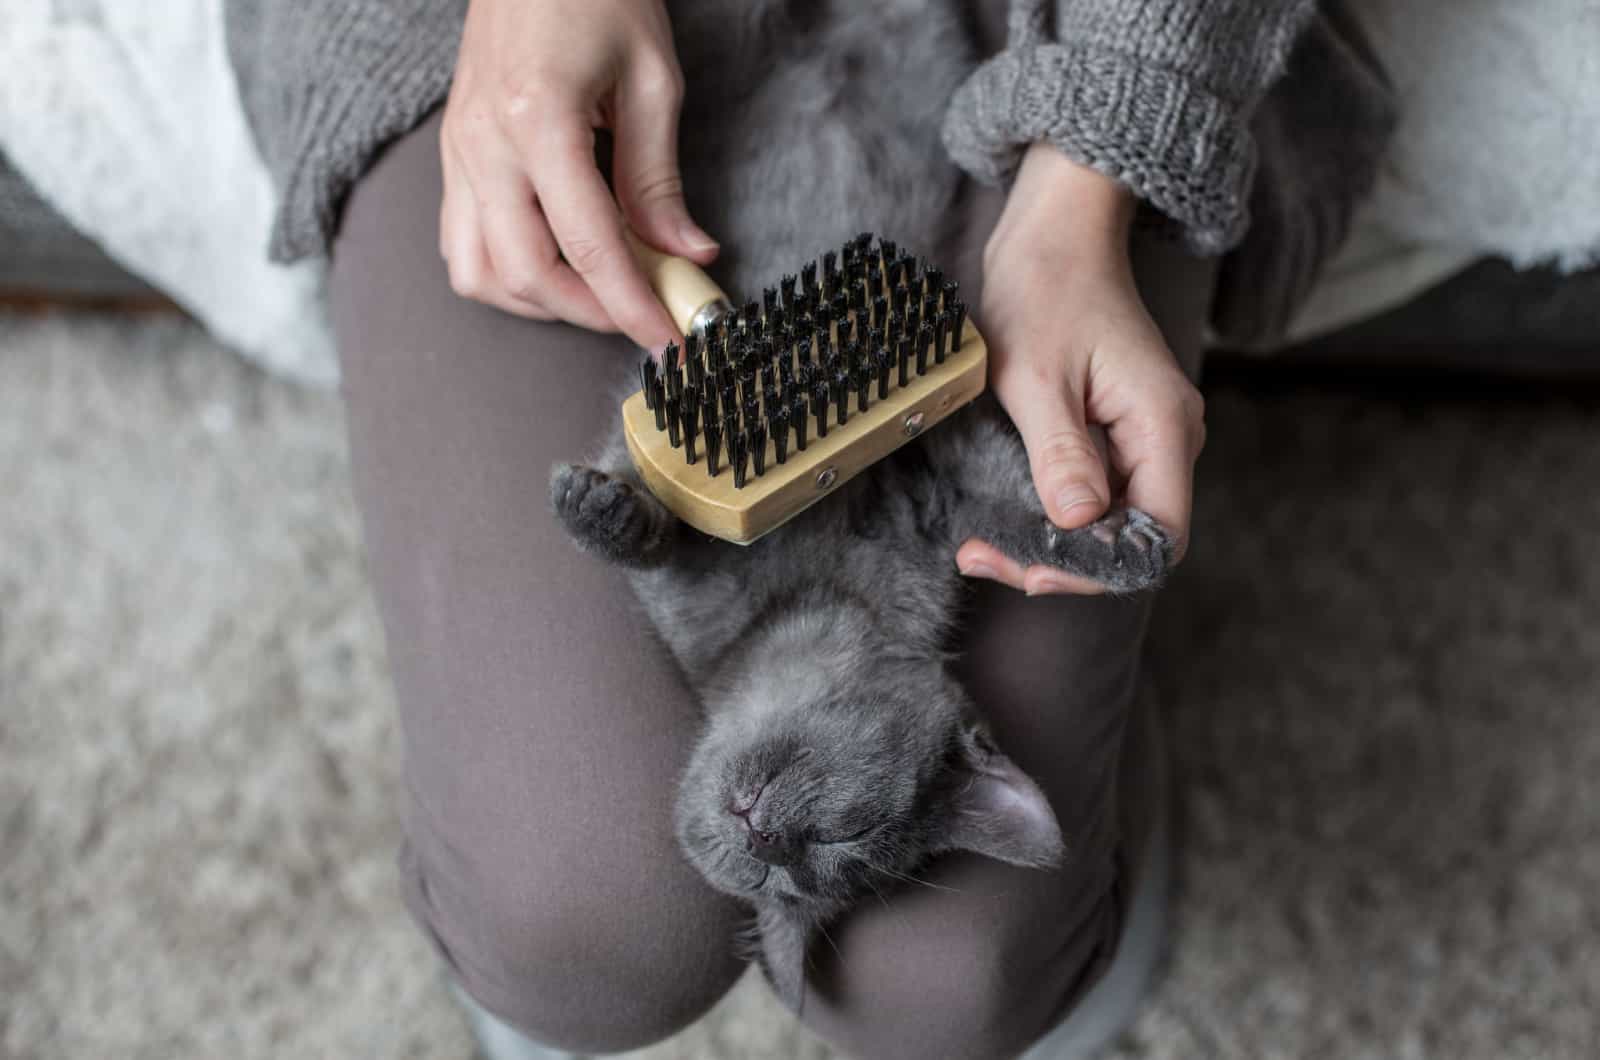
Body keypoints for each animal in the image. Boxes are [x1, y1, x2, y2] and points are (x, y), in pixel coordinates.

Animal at [553, 398, 1177, 1011]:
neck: (819, 605)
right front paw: (601, 511)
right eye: (761, 875)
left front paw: (1113, 546)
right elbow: (653, 511)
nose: (764, 839)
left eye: (840, 839)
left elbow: (1009, 515)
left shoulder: (950, 488)